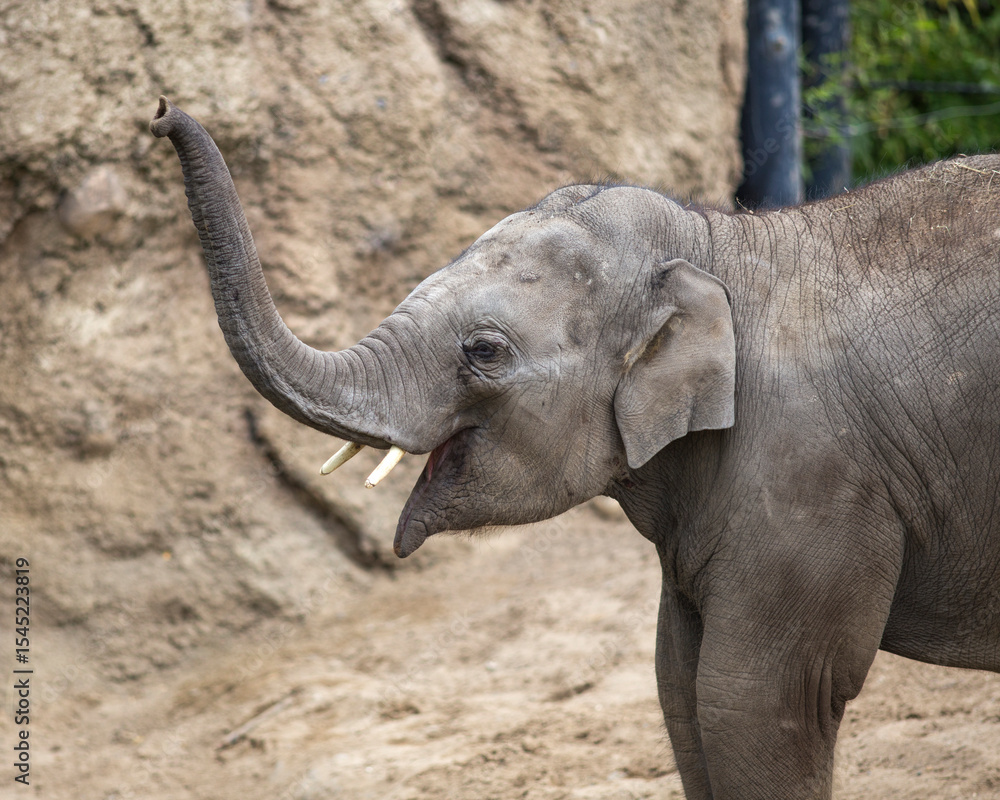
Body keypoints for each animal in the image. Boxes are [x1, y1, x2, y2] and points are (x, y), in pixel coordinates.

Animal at [150, 96, 1000, 799]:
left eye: (484, 350)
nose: (159, 114)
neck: (722, 248)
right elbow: (679, 687)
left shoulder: (813, 480)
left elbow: (756, 698)